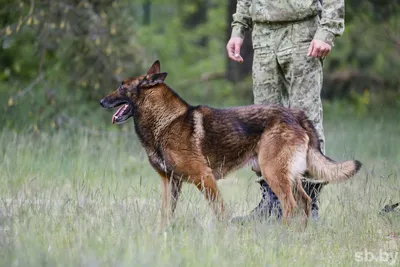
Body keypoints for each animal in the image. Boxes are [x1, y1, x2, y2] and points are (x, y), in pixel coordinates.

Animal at [99, 60, 362, 226]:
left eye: (122, 86)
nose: (101, 101)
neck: (166, 122)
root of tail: (296, 114)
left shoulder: (205, 178)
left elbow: (220, 212)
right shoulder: (170, 182)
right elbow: (165, 215)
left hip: (273, 173)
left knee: (290, 206)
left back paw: (284, 235)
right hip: (288, 176)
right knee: (305, 202)